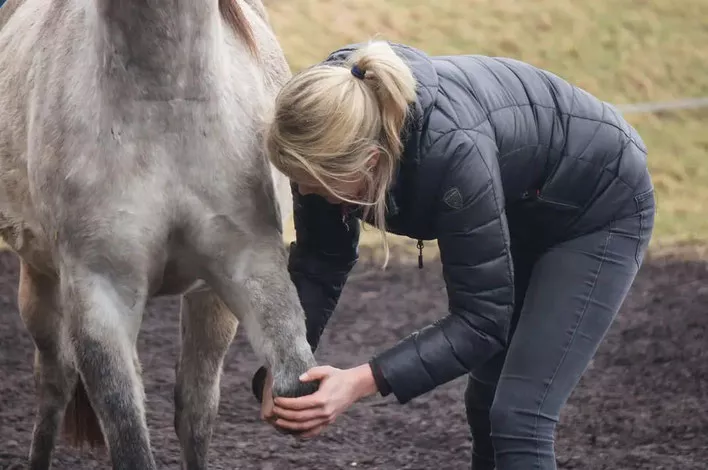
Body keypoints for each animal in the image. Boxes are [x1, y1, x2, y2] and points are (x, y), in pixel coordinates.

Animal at [0, 0, 318, 468]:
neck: (166, 102)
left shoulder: (243, 268)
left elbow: (235, 399)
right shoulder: (101, 293)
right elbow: (129, 439)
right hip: (39, 280)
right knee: (54, 382)